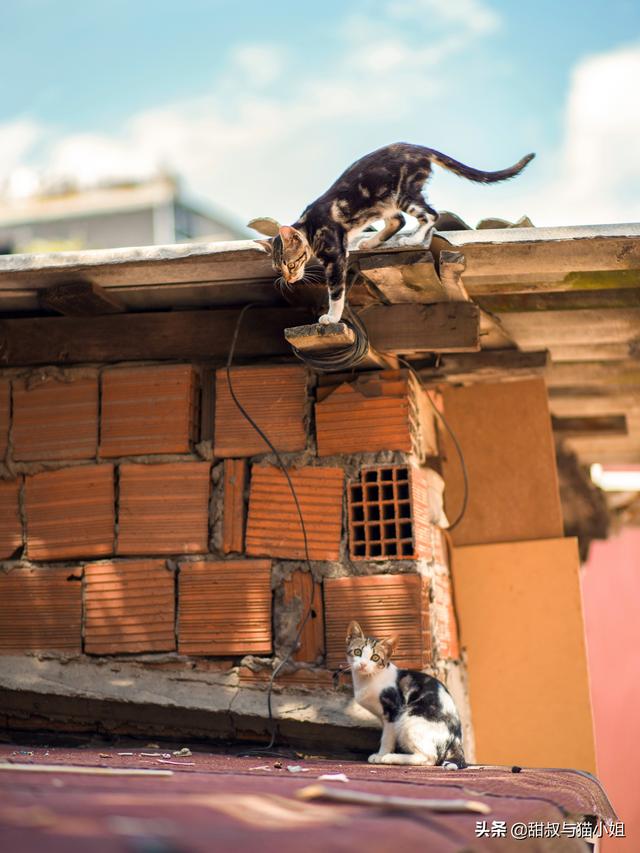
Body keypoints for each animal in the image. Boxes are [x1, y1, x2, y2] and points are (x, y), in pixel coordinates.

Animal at [250, 141, 536, 324]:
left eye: (291, 263)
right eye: (278, 268)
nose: (288, 279)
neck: (309, 226)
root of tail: (416, 146)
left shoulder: (335, 256)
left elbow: (336, 292)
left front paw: (332, 317)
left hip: (404, 192)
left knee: (431, 214)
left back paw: (414, 238)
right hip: (385, 201)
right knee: (398, 220)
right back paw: (372, 242)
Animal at [344, 620, 464, 764]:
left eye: (375, 657)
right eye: (357, 652)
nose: (363, 664)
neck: (367, 679)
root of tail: (456, 737)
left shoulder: (393, 711)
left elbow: (387, 737)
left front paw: (381, 755)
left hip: (409, 718)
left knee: (430, 757)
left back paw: (391, 758)